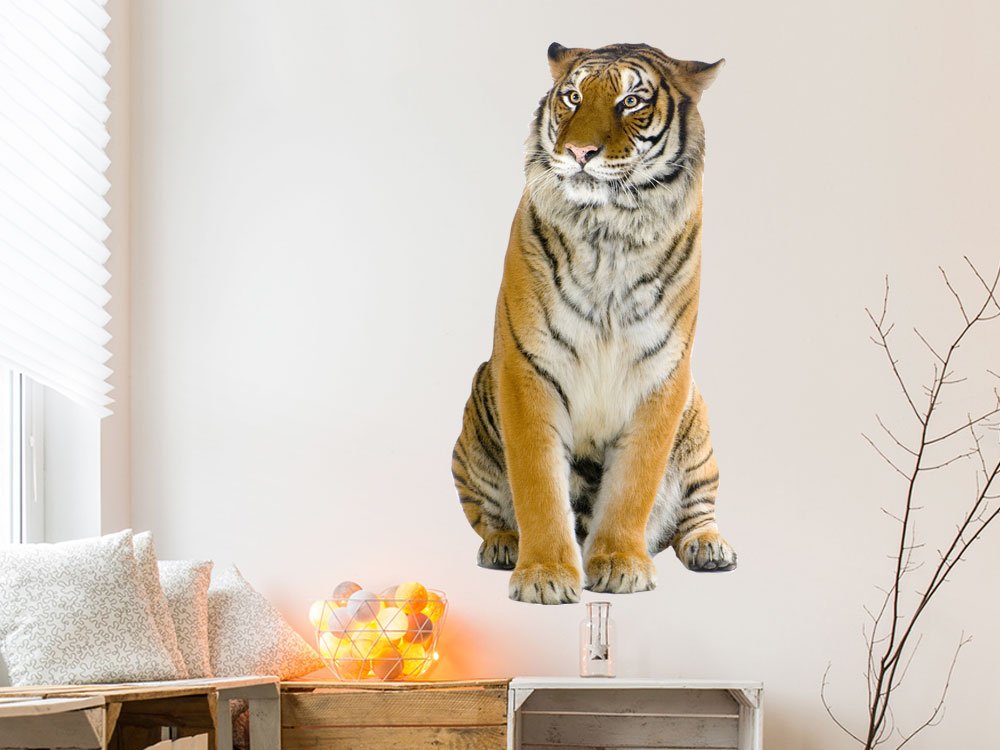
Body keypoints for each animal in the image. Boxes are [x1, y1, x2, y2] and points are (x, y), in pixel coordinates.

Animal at [451, 42, 736, 605]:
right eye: (573, 97)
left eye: (631, 101)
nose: (580, 152)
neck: (609, 230)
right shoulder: (528, 368)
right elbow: (538, 484)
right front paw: (543, 575)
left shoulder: (662, 375)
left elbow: (634, 483)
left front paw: (621, 564)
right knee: (488, 513)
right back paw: (503, 545)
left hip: (699, 429)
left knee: (696, 511)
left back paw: (710, 548)